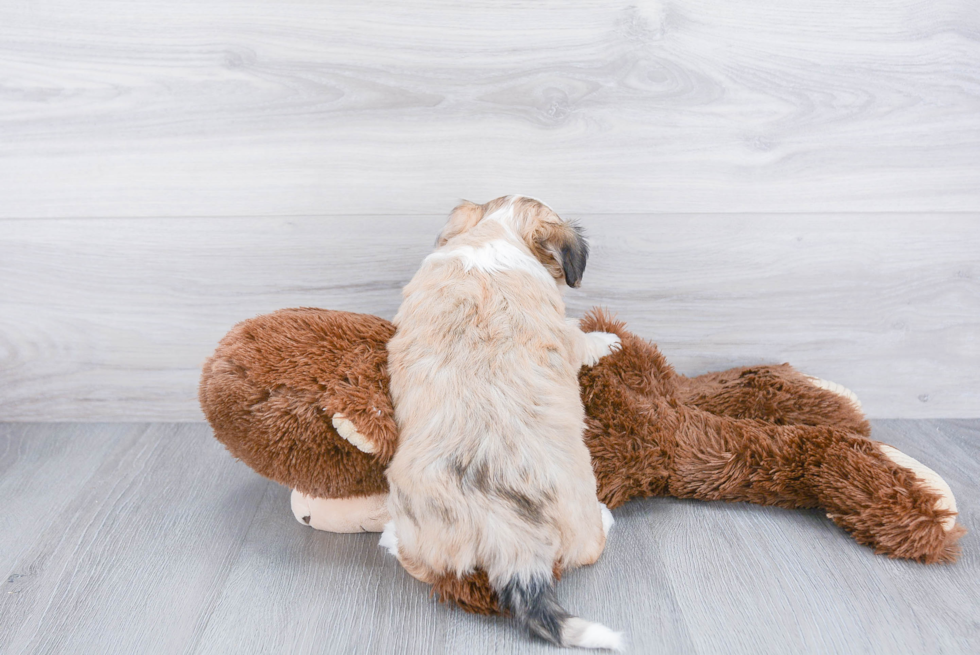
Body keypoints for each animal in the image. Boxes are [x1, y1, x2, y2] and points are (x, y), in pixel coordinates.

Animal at [384, 195, 624, 652]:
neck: (493, 235)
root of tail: (507, 531)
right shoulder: (564, 332)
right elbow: (580, 337)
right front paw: (606, 340)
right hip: (581, 514)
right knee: (591, 547)